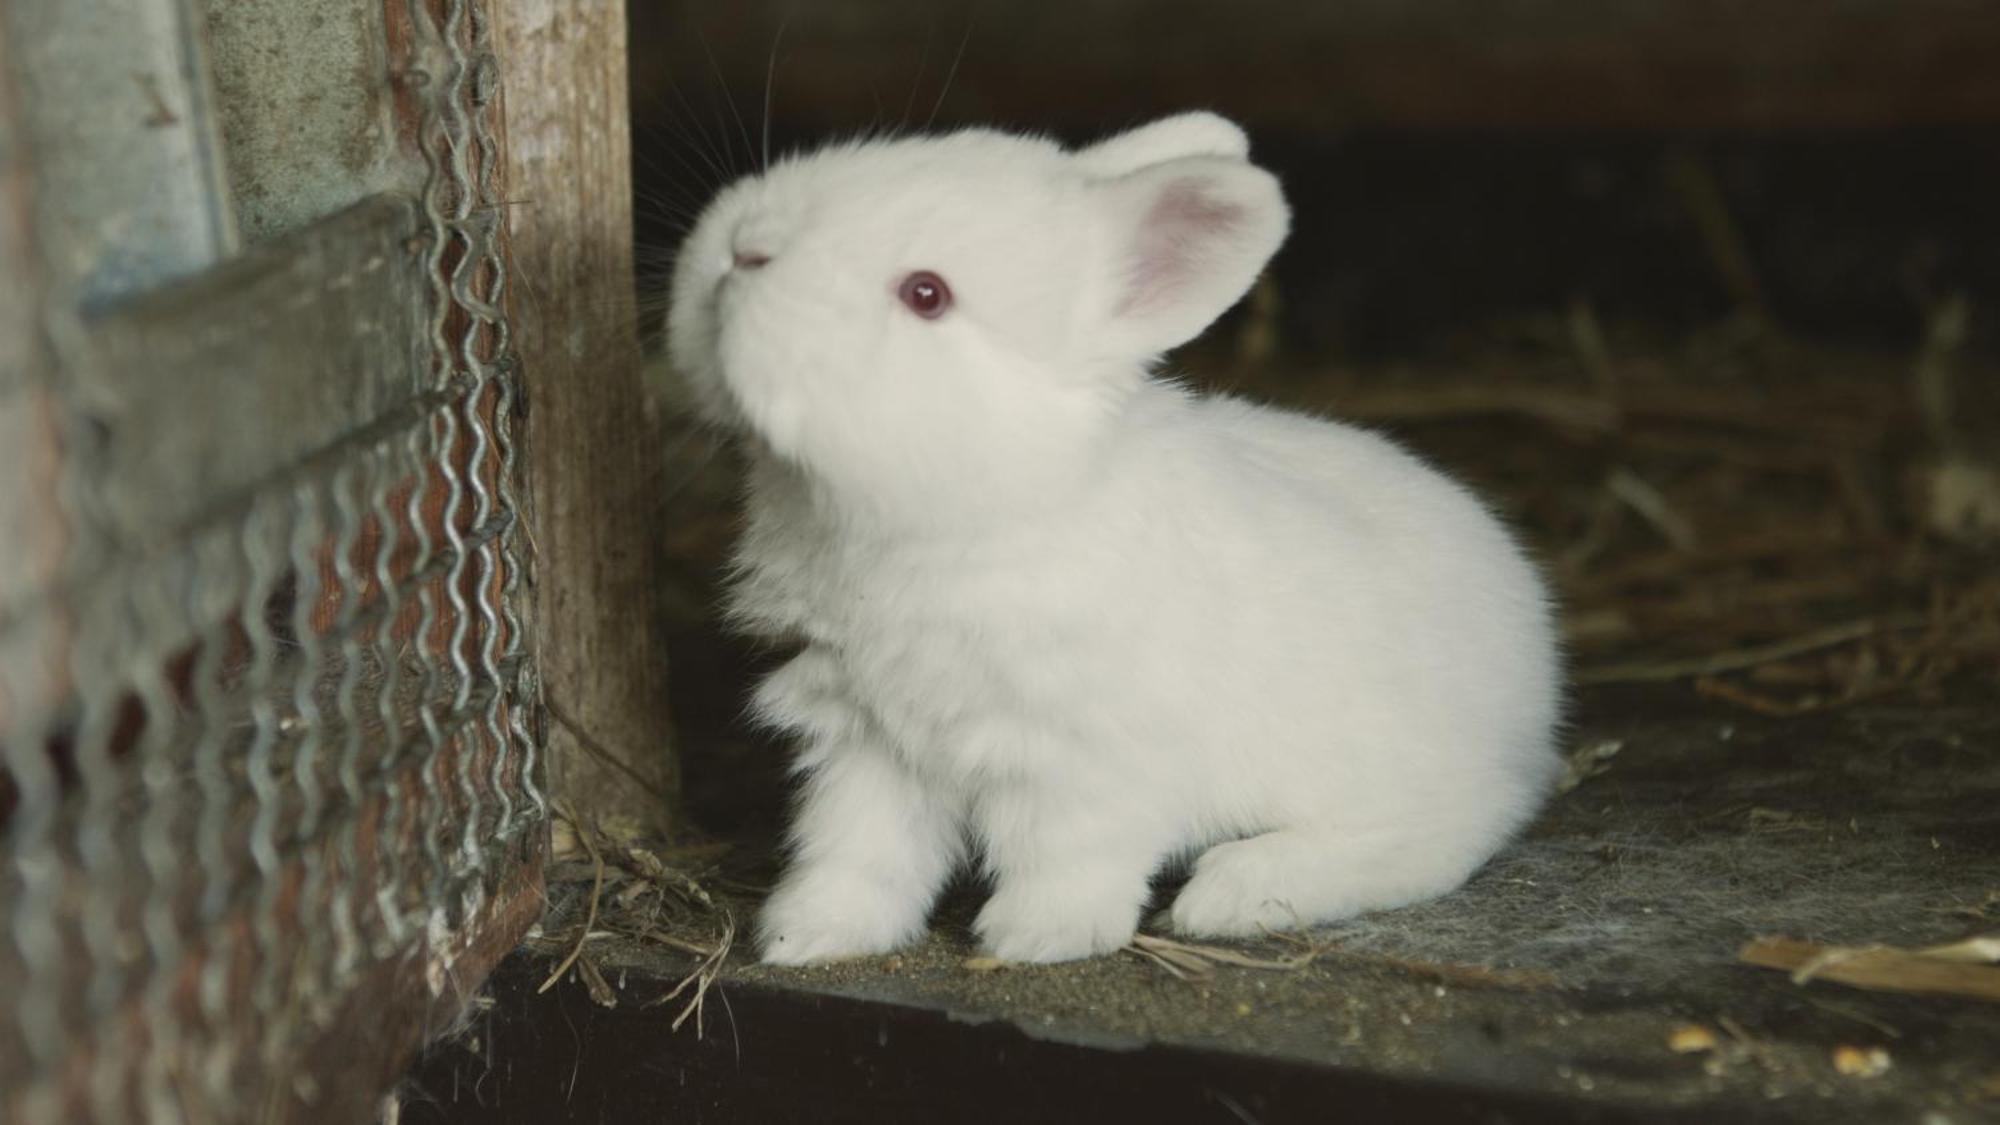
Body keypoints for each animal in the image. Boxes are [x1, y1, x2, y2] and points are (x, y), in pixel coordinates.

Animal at [672, 111, 1560, 964]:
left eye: (927, 293)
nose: (743, 248)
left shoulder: (1086, 760)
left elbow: (1067, 856)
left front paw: (1035, 938)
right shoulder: (865, 740)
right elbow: (857, 851)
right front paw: (805, 936)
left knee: (1455, 827)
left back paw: (1231, 894)